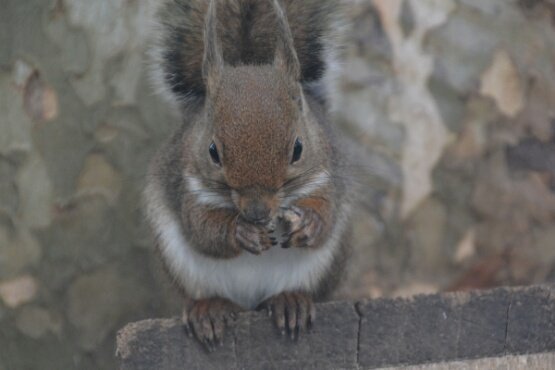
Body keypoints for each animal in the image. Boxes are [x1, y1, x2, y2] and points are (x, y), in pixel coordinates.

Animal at [143, 0, 352, 350]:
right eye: (213, 151)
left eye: (298, 148)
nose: (256, 212)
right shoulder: (188, 186)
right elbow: (203, 229)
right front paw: (241, 232)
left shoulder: (326, 177)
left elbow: (325, 215)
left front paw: (308, 224)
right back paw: (210, 309)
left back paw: (289, 302)